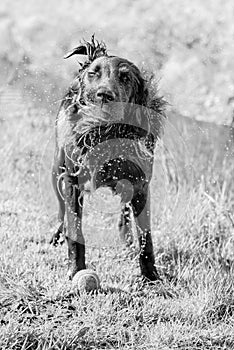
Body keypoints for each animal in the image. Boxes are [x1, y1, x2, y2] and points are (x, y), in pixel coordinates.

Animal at [51, 36, 165, 282]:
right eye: (93, 73)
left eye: (125, 77)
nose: (104, 95)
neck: (106, 133)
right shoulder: (73, 181)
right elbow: (75, 229)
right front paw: (76, 269)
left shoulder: (141, 184)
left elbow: (145, 237)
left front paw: (151, 276)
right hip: (57, 166)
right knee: (61, 208)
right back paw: (57, 233)